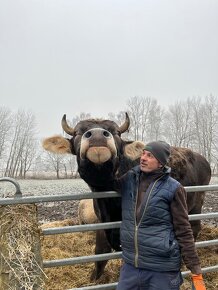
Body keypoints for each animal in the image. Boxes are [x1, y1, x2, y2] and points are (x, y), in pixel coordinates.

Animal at [42, 112, 211, 280]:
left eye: (116, 132)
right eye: (77, 132)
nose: (97, 135)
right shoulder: (102, 223)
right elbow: (100, 253)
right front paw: (93, 279)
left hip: (197, 202)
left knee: (194, 227)